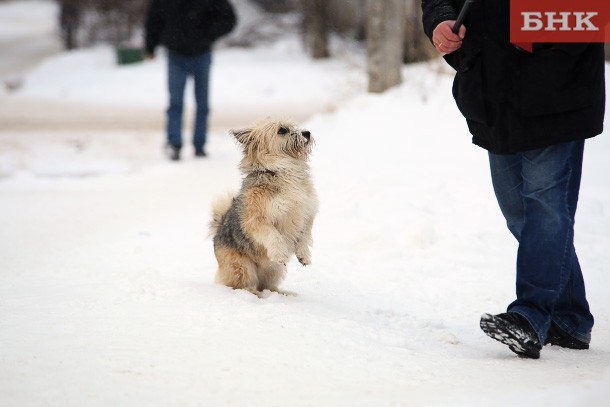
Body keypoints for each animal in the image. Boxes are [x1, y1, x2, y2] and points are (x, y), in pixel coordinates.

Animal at [208, 119, 316, 298]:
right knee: (240, 286)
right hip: (242, 266)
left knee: (268, 286)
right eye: (282, 130)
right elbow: (273, 235)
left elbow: (305, 235)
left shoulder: (307, 213)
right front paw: (280, 253)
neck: (283, 171)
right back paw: (253, 294)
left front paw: (304, 256)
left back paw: (283, 294)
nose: (306, 133)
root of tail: (217, 231)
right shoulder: (256, 220)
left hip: (273, 270)